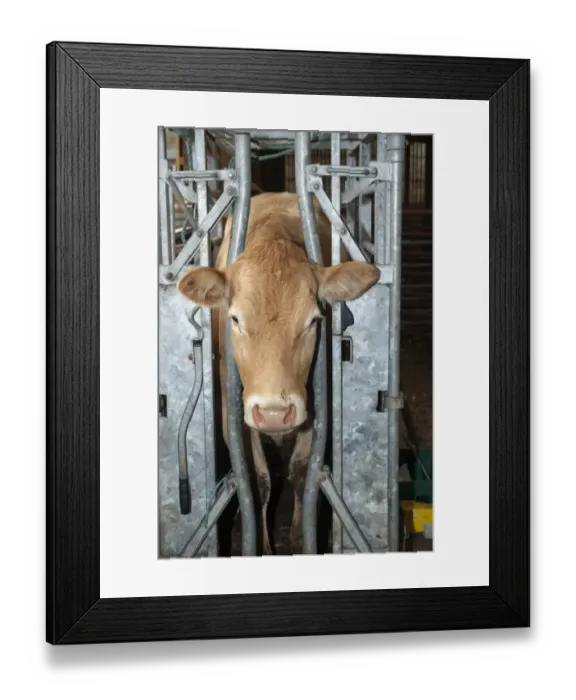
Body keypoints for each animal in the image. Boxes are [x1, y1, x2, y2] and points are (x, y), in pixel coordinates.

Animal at [176, 191, 379, 555]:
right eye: (235, 318)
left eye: (313, 320)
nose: (273, 413)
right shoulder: (233, 412)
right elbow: (257, 481)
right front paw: (262, 544)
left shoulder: (315, 406)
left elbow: (301, 472)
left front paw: (300, 538)